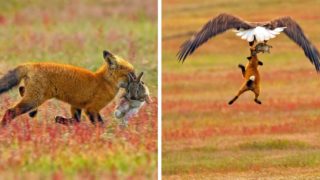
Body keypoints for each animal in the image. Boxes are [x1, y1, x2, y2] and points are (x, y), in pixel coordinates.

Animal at [0, 50, 134, 127]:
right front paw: (106, 136)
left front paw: (60, 120)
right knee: (10, 111)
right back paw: (4, 128)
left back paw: (33, 112)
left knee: (22, 89)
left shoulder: (77, 105)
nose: (138, 82)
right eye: (131, 74)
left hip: (34, 96)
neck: (104, 81)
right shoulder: (92, 109)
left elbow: (75, 121)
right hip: (34, 99)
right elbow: (99, 124)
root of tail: (32, 64)